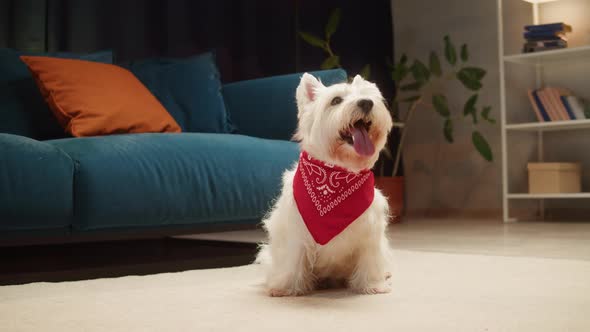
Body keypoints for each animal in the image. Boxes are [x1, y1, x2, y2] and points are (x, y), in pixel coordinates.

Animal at [256, 72, 396, 296]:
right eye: (336, 100)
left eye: (369, 96)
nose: (366, 103)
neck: (336, 173)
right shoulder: (296, 232)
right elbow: (292, 258)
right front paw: (286, 287)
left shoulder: (370, 234)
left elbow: (370, 259)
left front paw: (373, 285)